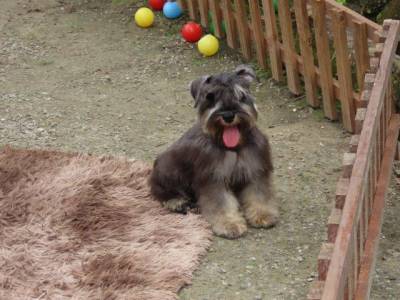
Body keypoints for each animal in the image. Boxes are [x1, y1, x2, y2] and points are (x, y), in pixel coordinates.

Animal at [150, 65, 278, 239]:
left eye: (240, 95)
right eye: (210, 97)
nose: (228, 115)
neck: (232, 148)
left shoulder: (256, 170)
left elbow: (258, 194)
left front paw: (263, 214)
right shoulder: (213, 178)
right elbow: (221, 203)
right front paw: (229, 224)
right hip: (168, 170)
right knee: (162, 191)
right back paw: (178, 203)